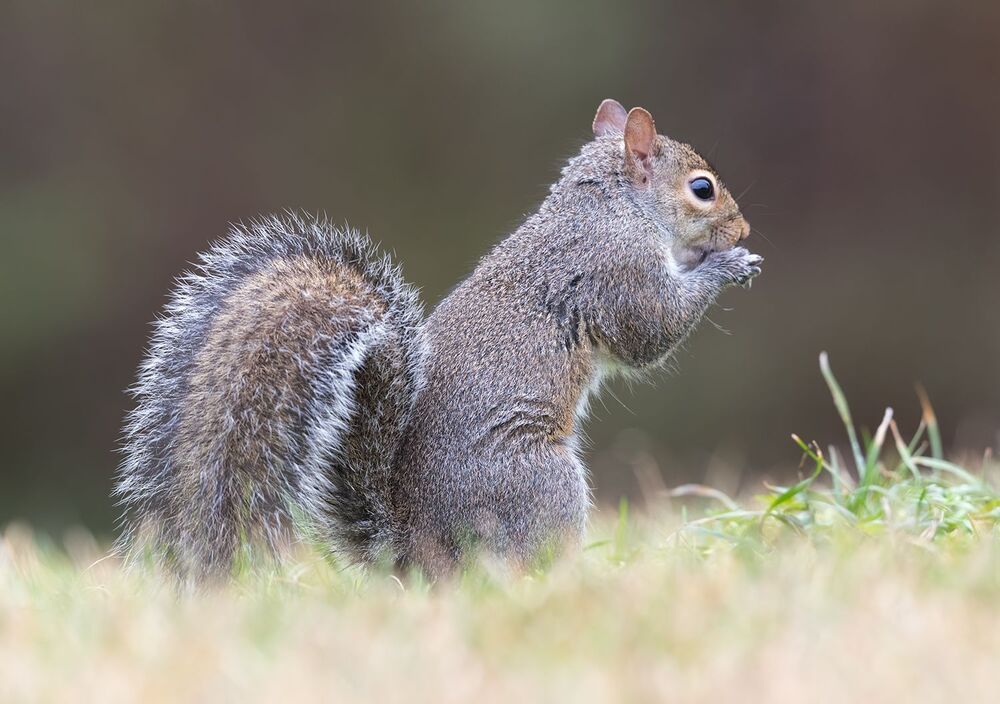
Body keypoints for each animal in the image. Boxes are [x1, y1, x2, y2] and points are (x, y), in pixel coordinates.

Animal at [115, 99, 763, 580]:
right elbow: (649, 332)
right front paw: (726, 265)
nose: (743, 228)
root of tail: (413, 554)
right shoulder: (616, 270)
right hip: (541, 482)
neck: (609, 204)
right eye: (702, 189)